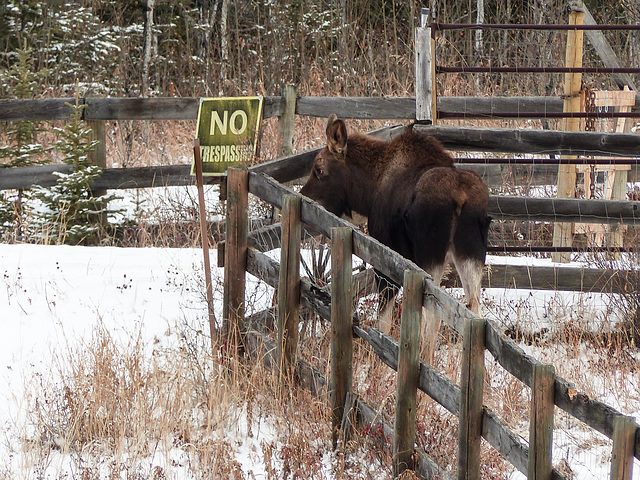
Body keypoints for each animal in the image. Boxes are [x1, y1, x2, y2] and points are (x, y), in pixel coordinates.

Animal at [300, 114, 490, 348]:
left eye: (319, 170)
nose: (303, 196)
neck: (368, 192)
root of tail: (460, 198)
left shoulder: (385, 259)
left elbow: (383, 322)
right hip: (470, 254)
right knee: (474, 310)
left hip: (429, 256)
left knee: (431, 319)